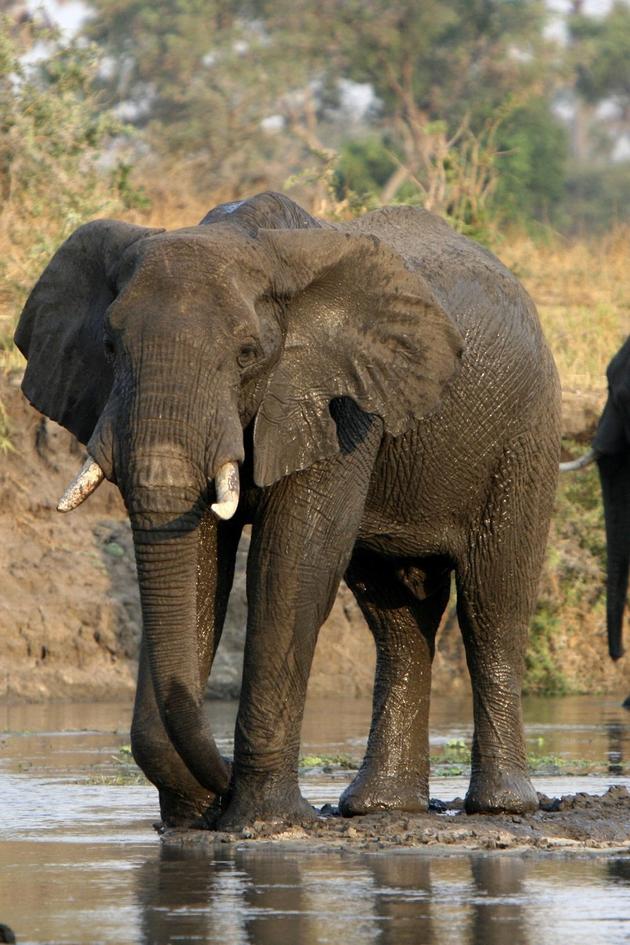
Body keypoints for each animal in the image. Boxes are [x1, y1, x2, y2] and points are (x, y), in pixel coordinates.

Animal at [14, 191, 561, 828]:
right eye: (108, 348)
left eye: (247, 354)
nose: (218, 785)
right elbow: (201, 572)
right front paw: (194, 820)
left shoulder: (340, 403)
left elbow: (291, 569)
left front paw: (263, 823)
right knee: (396, 614)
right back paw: (376, 807)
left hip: (525, 436)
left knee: (493, 605)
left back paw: (502, 807)